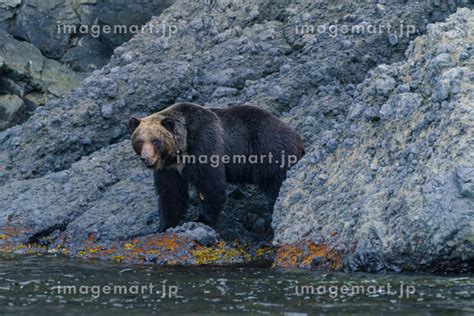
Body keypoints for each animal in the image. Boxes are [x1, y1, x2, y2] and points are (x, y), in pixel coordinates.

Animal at [129, 102, 304, 231]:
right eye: (139, 141)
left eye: (156, 140)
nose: (146, 158)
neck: (180, 153)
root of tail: (297, 137)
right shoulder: (168, 169)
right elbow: (170, 193)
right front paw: (164, 226)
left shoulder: (205, 143)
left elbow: (210, 185)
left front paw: (202, 220)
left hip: (269, 150)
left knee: (277, 183)